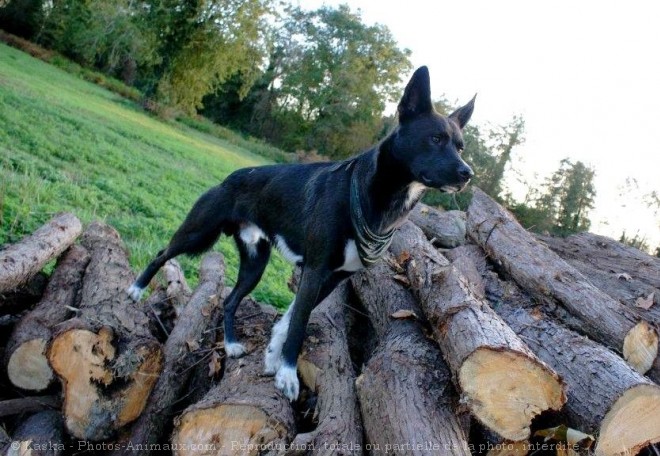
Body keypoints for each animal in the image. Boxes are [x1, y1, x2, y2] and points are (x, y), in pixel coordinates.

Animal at [129, 67, 474, 400]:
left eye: (460, 146)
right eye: (435, 138)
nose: (467, 174)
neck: (368, 196)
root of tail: (231, 176)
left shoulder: (334, 277)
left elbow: (291, 317)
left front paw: (272, 356)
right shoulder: (315, 269)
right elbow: (299, 323)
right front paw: (287, 375)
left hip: (255, 262)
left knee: (228, 301)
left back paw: (230, 345)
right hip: (198, 233)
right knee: (162, 254)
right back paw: (135, 289)